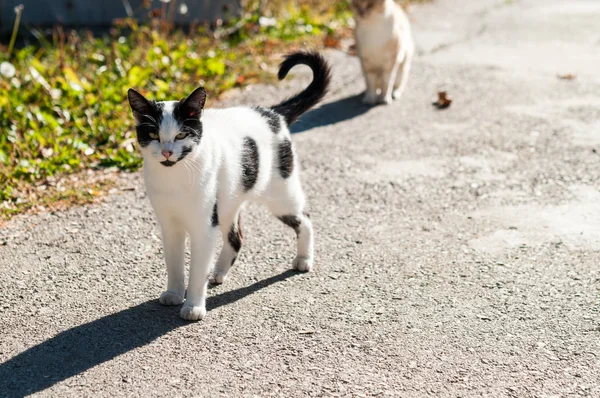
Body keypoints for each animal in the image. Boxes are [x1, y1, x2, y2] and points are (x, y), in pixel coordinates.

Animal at [127, 51, 332, 322]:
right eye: (153, 135)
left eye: (181, 135)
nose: (167, 152)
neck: (175, 177)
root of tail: (272, 114)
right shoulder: (170, 225)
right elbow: (174, 263)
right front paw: (173, 293)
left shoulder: (204, 227)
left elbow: (197, 270)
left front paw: (193, 306)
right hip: (228, 202)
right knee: (236, 237)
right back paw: (219, 271)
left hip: (280, 195)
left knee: (305, 218)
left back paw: (304, 258)